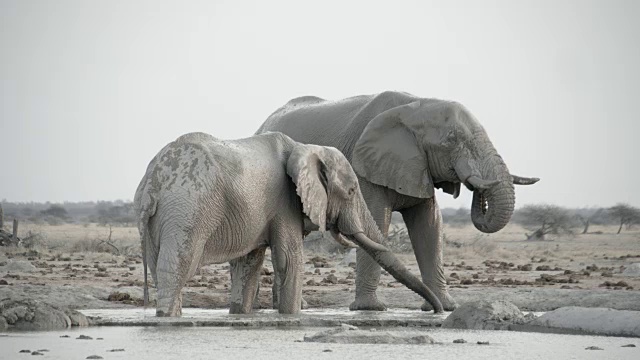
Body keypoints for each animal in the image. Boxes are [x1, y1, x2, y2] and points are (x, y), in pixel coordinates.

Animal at [134, 131, 444, 316]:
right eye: (352, 191)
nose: (438, 311)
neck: (305, 148)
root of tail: (153, 183)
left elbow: (249, 264)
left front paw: (241, 315)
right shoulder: (285, 201)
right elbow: (288, 258)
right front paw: (291, 317)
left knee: (160, 267)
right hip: (187, 209)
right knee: (177, 266)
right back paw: (168, 319)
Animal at [245, 91, 540, 310]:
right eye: (451, 140)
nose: (473, 186)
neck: (418, 106)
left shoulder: (419, 166)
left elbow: (429, 225)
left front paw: (446, 307)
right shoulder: (365, 165)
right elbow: (379, 219)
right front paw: (370, 309)